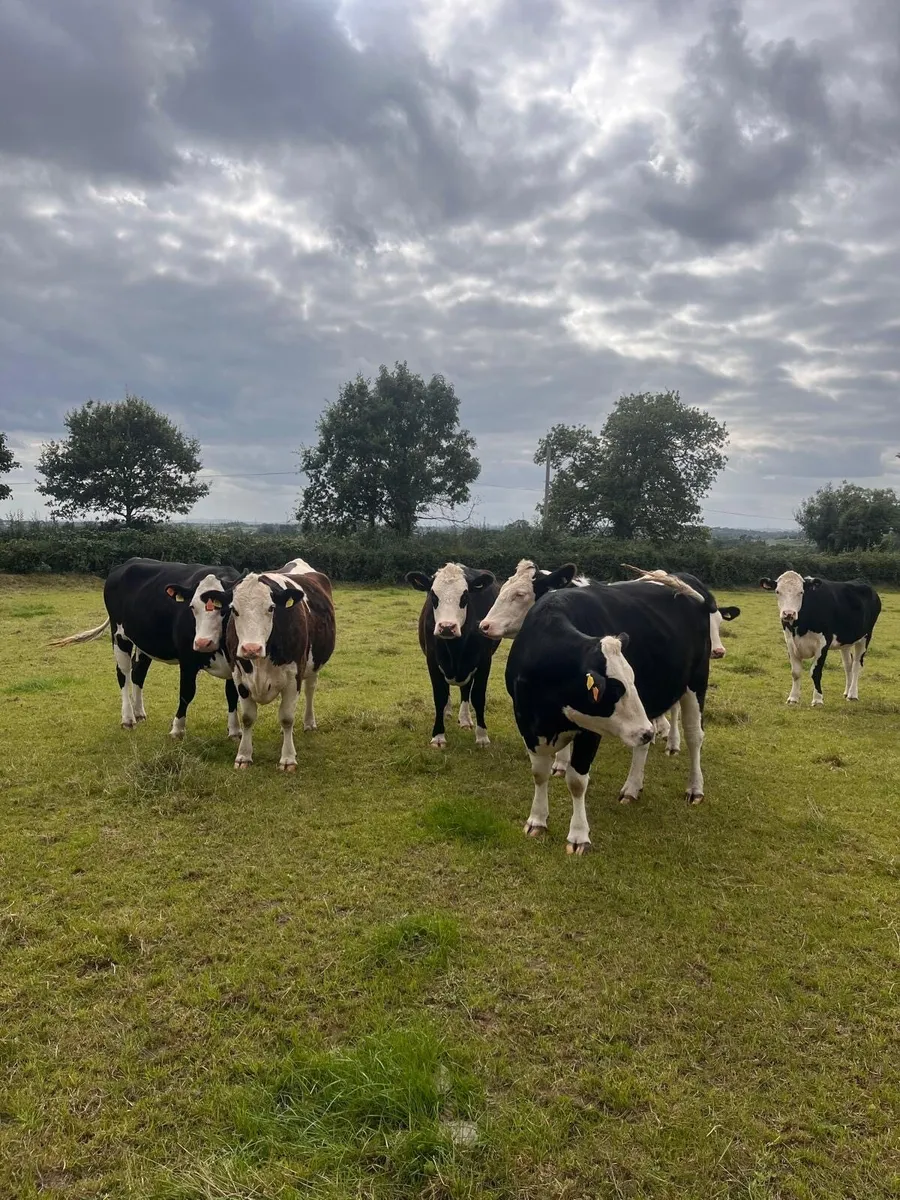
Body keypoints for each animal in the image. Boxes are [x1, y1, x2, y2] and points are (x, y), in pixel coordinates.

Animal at [50, 557, 242, 738]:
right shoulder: (187, 658)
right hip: (119, 634)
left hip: (143, 641)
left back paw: (138, 713)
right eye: (192, 607)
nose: (203, 643)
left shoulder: (234, 661)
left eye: (226, 607)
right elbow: (186, 692)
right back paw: (128, 718)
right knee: (123, 673)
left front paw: (234, 730)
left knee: (138, 672)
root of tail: (129, 562)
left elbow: (232, 693)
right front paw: (177, 729)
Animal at [225, 559, 335, 770]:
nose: (251, 648)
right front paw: (243, 756)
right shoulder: (239, 676)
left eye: (271, 608)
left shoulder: (294, 676)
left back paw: (309, 723)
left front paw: (288, 759)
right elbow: (248, 717)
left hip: (313, 665)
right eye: (234, 609)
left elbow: (286, 717)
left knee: (310, 690)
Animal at [406, 562, 501, 748]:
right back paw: (446, 712)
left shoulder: (484, 661)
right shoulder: (432, 661)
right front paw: (438, 736)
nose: (447, 627)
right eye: (433, 596)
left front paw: (482, 736)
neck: (455, 649)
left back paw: (465, 719)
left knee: (465, 690)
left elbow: (478, 696)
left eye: (465, 597)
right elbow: (440, 696)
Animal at [505, 572, 711, 854]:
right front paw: (537, 820)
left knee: (694, 737)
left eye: (631, 681)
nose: (646, 731)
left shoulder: (590, 731)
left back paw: (695, 788)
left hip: (695, 683)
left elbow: (577, 782)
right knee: (641, 747)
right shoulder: (526, 723)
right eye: (614, 689)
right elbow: (539, 773)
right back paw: (632, 788)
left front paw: (578, 835)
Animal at [759, 571, 881, 706]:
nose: (789, 613)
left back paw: (852, 694)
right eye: (777, 591)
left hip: (865, 637)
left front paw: (817, 699)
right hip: (845, 642)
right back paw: (847, 691)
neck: (799, 628)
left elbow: (815, 672)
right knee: (848, 665)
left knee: (856, 666)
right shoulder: (790, 643)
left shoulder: (823, 643)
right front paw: (793, 698)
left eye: (801, 592)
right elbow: (795, 672)